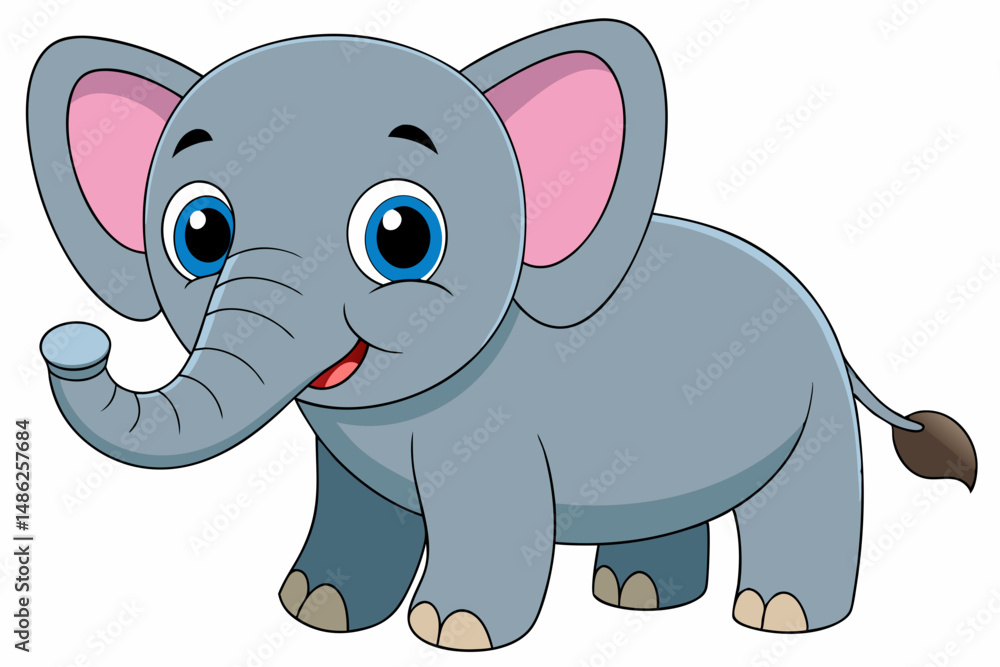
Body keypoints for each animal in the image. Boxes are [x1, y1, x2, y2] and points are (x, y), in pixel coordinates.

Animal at [28, 20, 977, 651]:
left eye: (402, 235)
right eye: (199, 232)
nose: (73, 342)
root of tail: (822, 311)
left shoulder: (496, 433)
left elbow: (486, 512)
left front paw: (453, 629)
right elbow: (360, 506)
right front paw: (316, 608)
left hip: (818, 406)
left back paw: (780, 615)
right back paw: (635, 595)